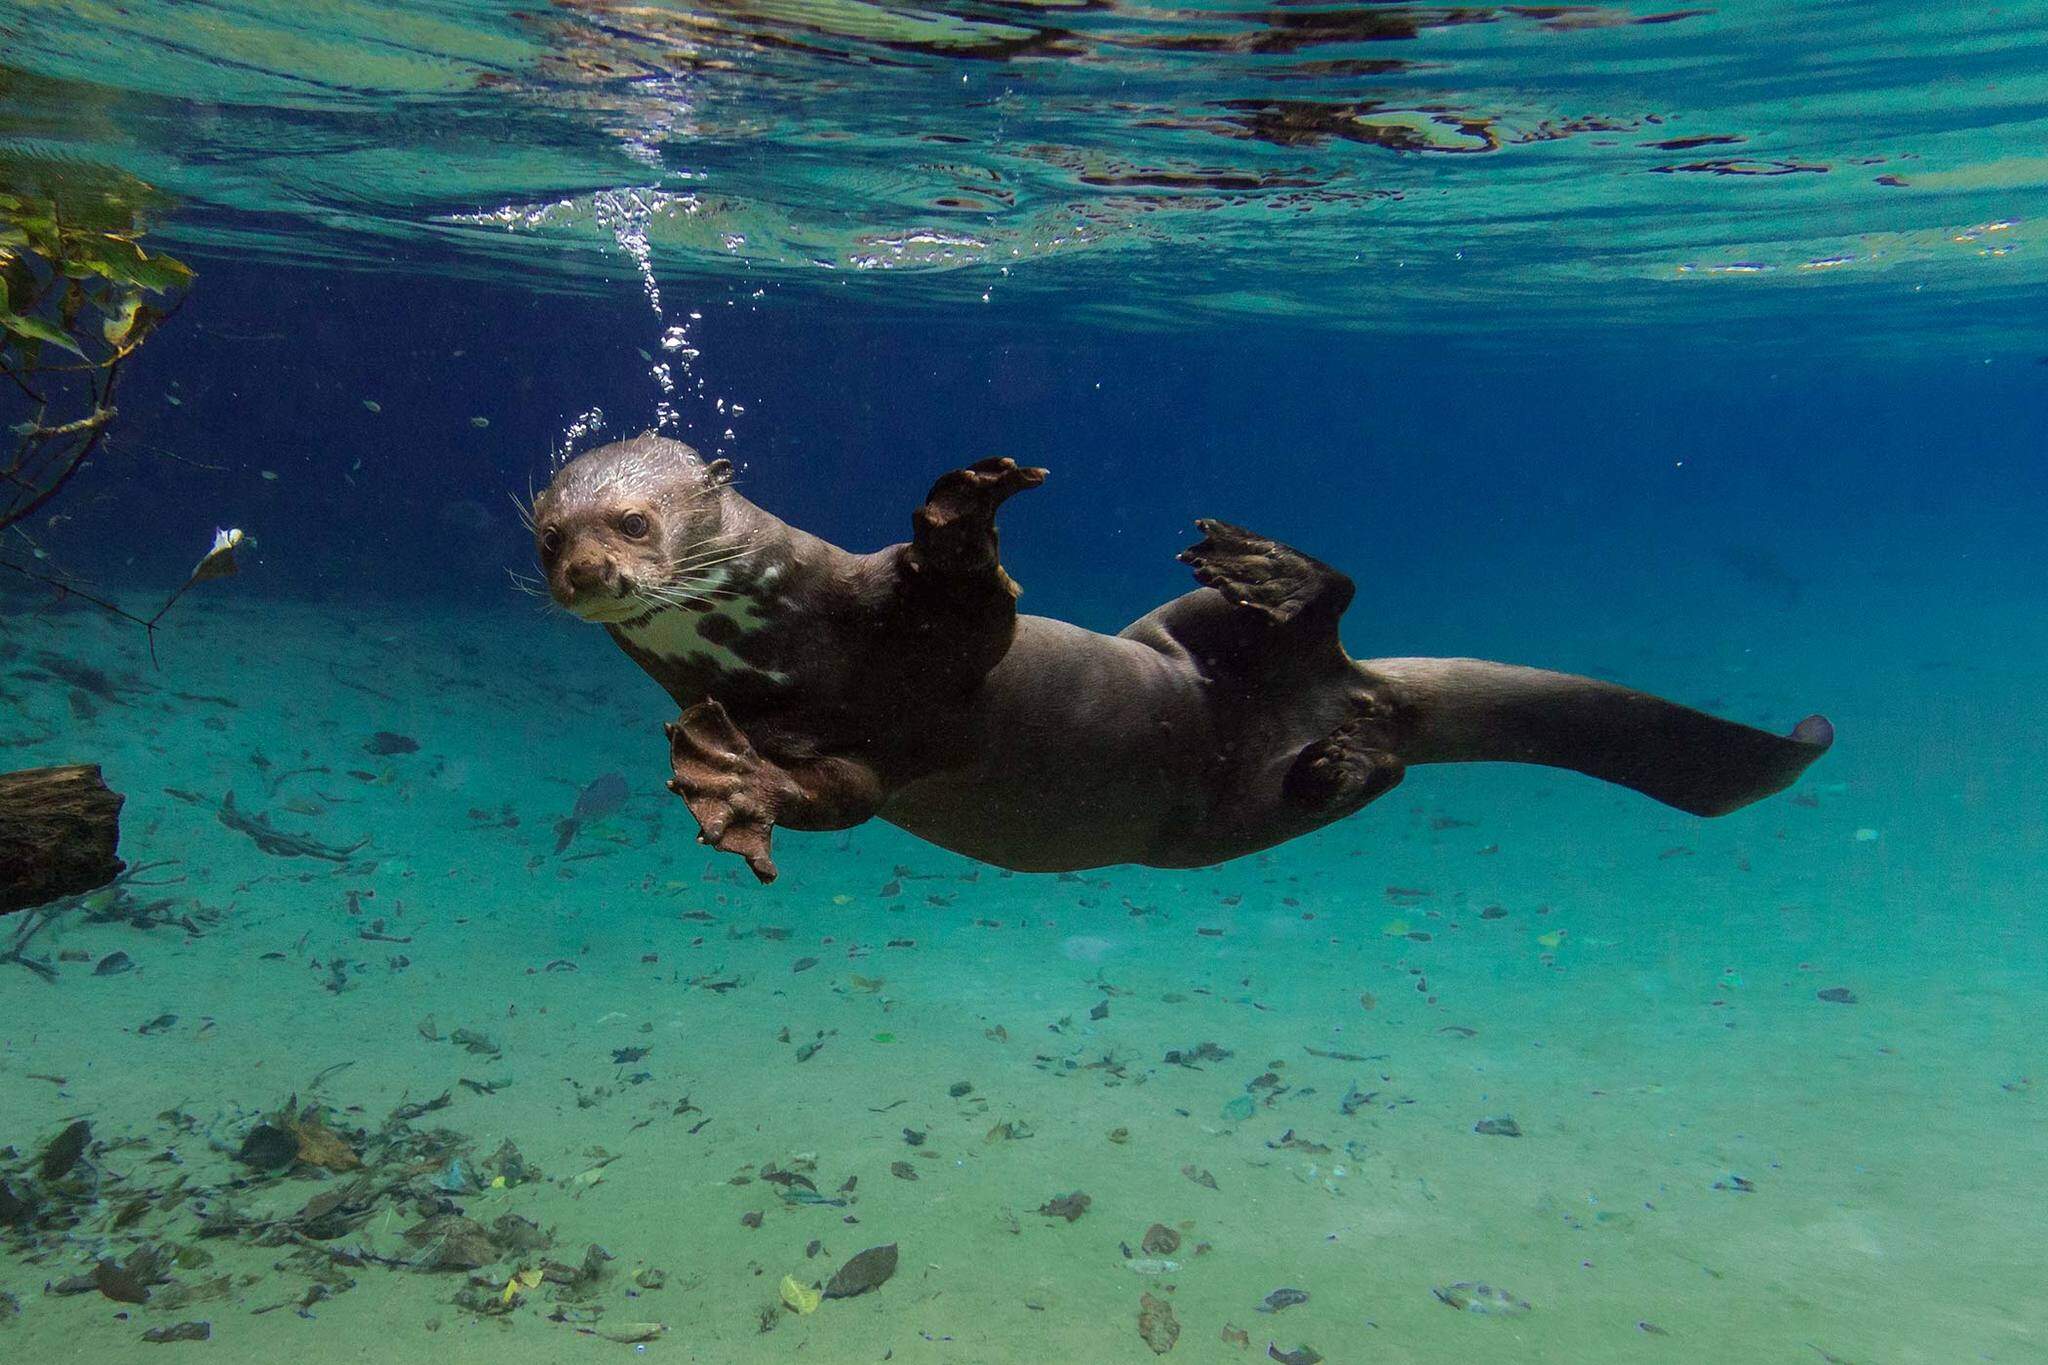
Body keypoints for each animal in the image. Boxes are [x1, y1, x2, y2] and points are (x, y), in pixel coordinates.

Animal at [528, 437, 1826, 888]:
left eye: (634, 521)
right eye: (547, 530)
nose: (582, 573)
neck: (785, 639)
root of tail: (1358, 685)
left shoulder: (896, 630)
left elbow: (977, 619)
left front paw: (963, 511)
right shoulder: (852, 747)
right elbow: (835, 793)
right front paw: (729, 782)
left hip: (1175, 635)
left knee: (1330, 618)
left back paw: (1273, 572)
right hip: (1207, 800)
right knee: (1351, 769)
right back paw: (1327, 753)